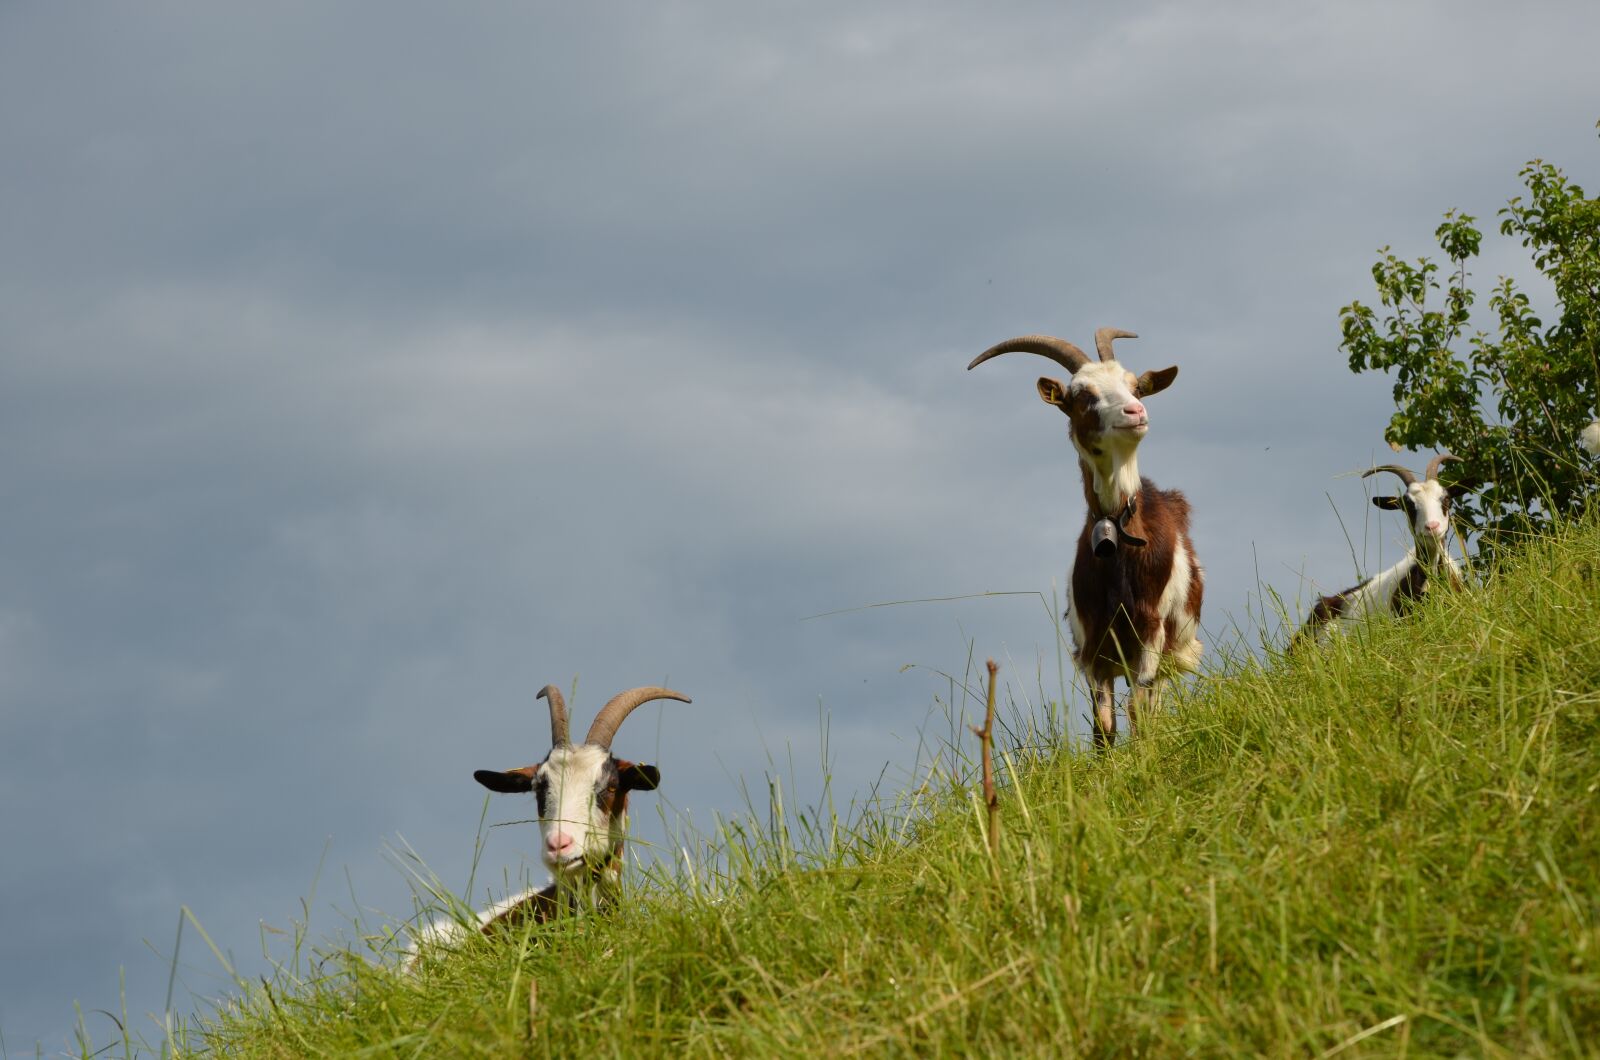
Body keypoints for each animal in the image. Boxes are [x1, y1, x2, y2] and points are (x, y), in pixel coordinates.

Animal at [969, 328, 1203, 747]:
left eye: (1135, 386)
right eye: (1082, 395)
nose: (1135, 413)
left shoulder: (1150, 631)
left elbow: (1139, 712)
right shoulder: (1095, 647)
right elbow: (1103, 726)